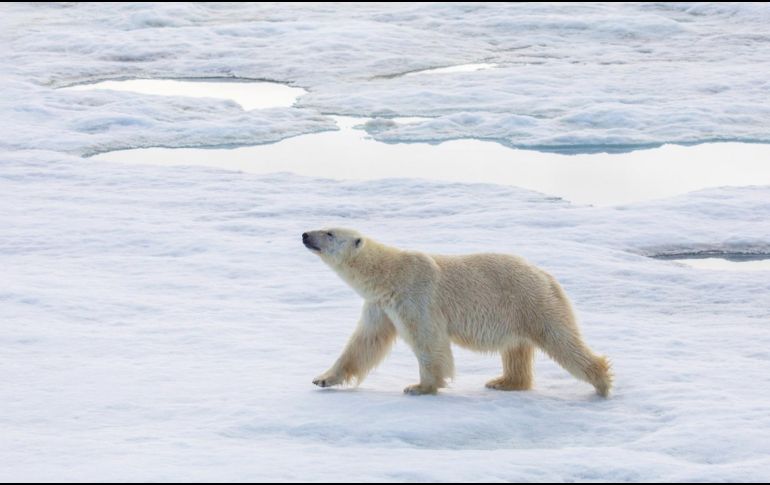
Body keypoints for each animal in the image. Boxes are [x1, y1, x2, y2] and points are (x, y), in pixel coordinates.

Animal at [302, 228, 613, 397]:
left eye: (329, 233)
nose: (305, 235)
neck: (389, 274)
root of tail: (548, 276)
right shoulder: (380, 306)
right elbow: (364, 343)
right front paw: (323, 378)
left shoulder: (416, 296)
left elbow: (429, 341)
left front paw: (419, 387)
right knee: (516, 349)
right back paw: (503, 382)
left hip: (531, 302)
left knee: (560, 340)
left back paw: (602, 382)